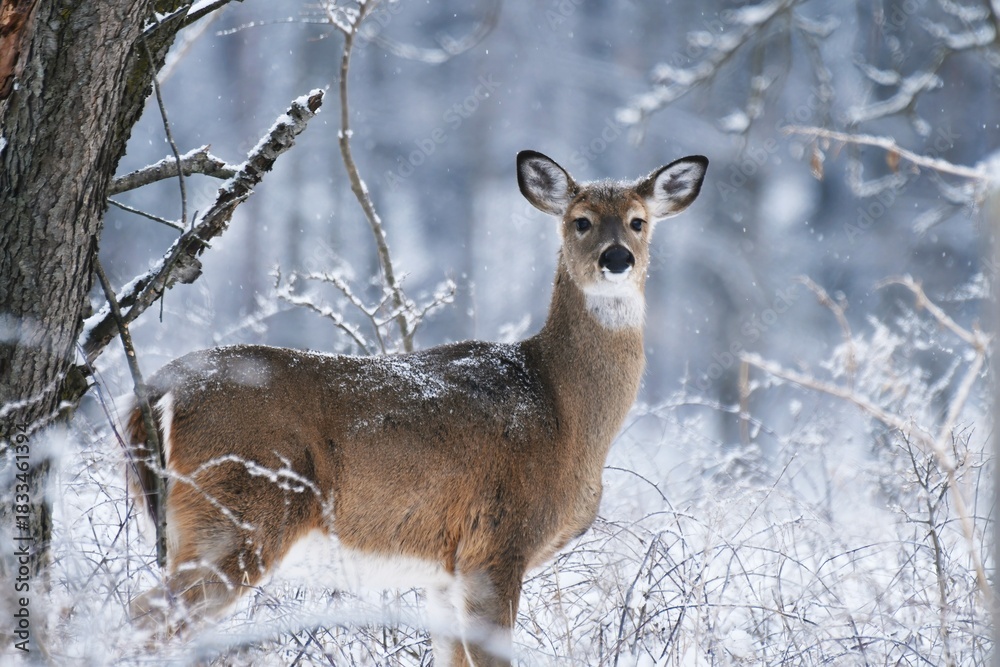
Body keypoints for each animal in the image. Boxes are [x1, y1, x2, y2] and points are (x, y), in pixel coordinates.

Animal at [125, 150, 707, 665]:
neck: (564, 411)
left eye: (637, 221)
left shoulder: (445, 573)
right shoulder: (496, 544)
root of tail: (158, 389)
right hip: (238, 514)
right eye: (581, 221)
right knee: (142, 616)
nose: (617, 258)